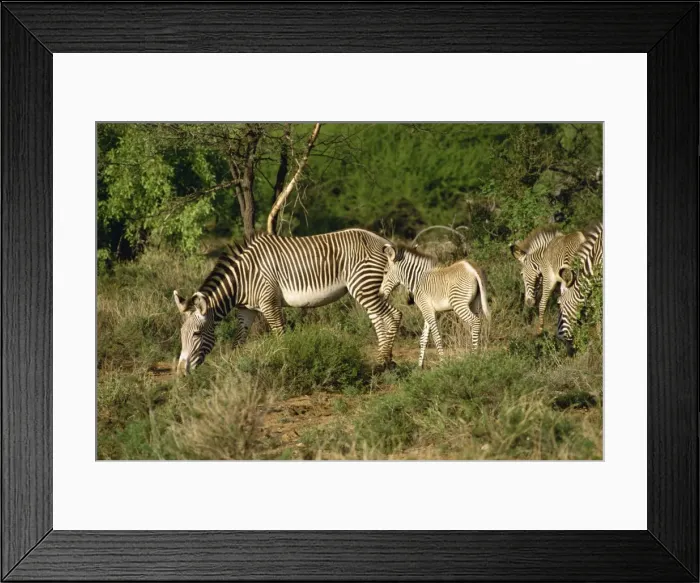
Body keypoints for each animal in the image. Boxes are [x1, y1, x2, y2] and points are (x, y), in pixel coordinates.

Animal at [173, 228, 402, 374]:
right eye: (181, 334)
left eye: (196, 334)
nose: (180, 373)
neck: (242, 278)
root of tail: (384, 242)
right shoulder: (246, 310)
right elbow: (239, 339)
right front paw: (234, 368)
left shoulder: (269, 303)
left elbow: (280, 335)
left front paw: (287, 362)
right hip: (369, 288)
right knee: (381, 319)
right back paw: (387, 361)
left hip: (363, 285)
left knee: (392, 315)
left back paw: (383, 362)